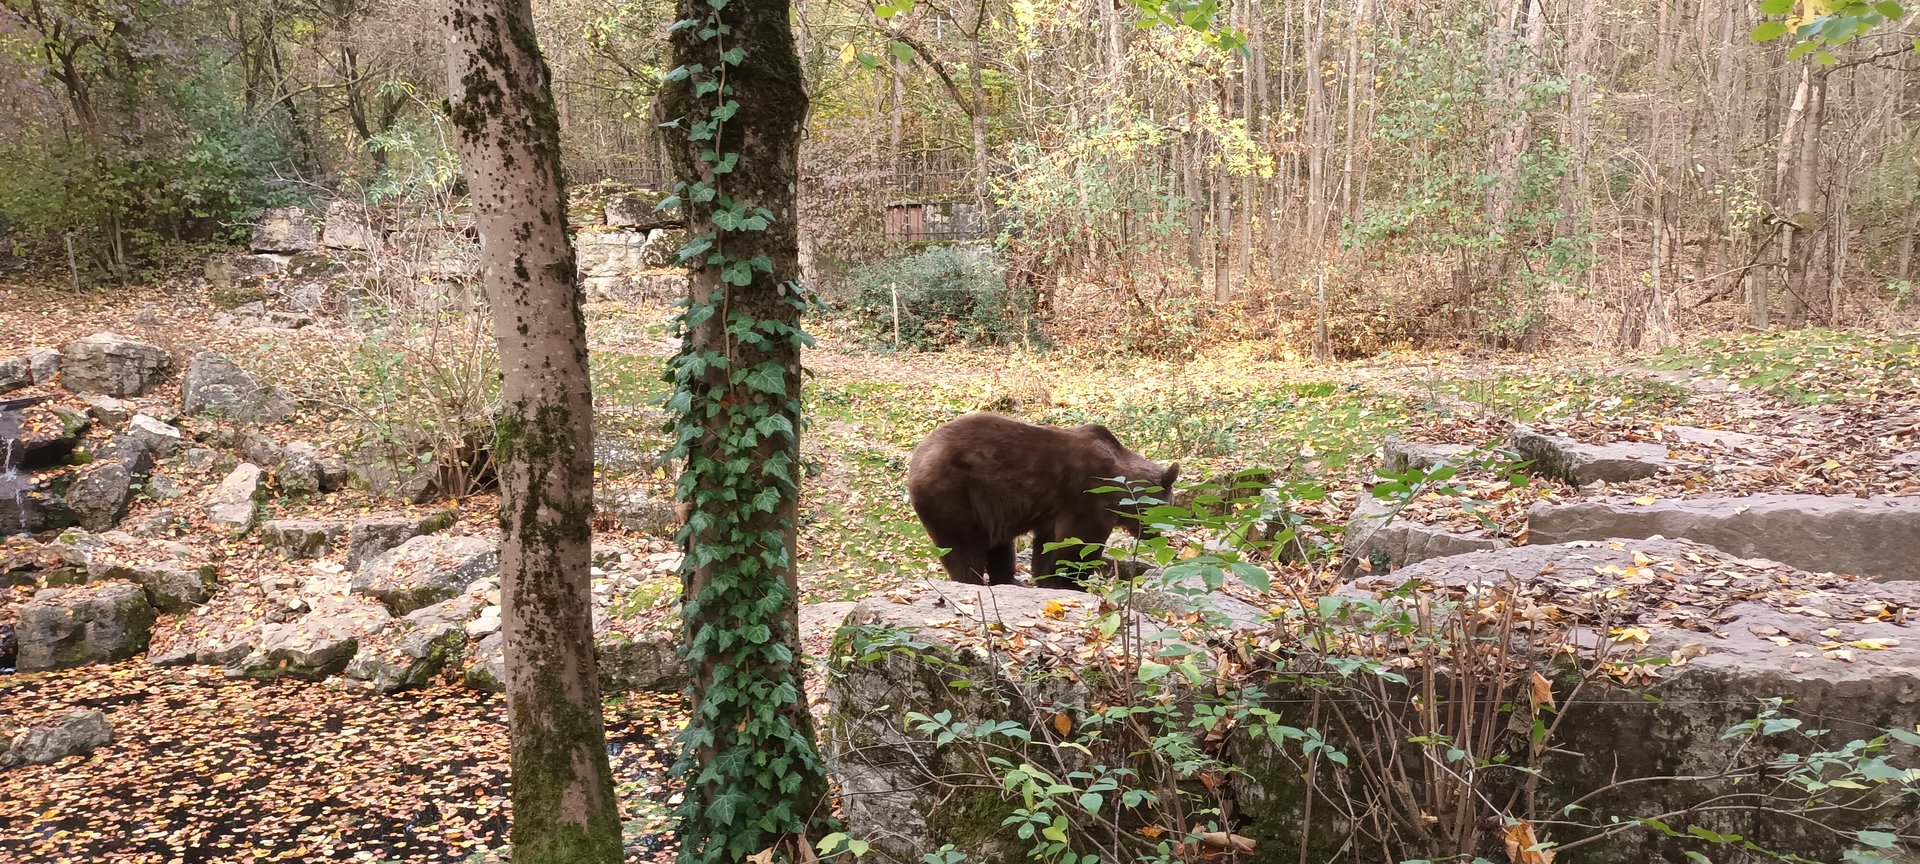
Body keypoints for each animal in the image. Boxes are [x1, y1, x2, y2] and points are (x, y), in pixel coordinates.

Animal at [906, 412, 1180, 590]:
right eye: (1170, 509)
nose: (1162, 537)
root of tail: (916, 457)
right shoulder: (1087, 495)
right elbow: (1079, 543)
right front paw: (1075, 583)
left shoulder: (1056, 508)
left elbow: (1048, 545)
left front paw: (1047, 580)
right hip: (953, 494)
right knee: (962, 546)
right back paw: (974, 579)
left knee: (999, 546)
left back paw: (1010, 580)